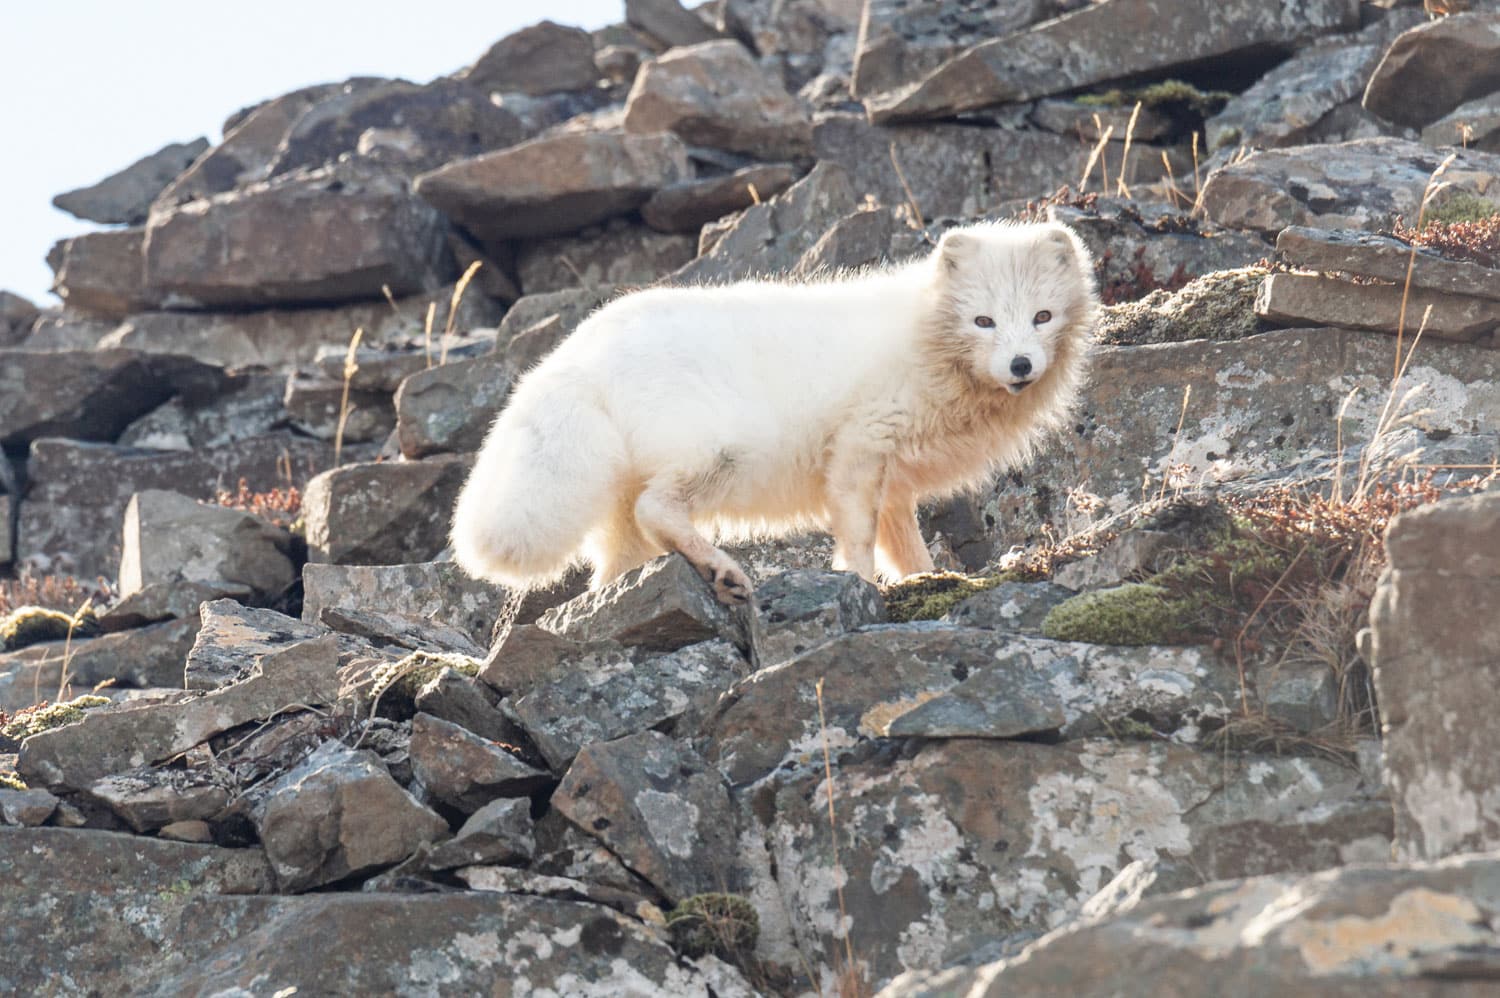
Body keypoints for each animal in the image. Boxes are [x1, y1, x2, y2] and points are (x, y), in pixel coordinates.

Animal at [450, 220, 1098, 603]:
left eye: (1041, 316)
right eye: (983, 321)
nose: (1020, 364)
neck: (925, 339)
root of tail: (577, 351)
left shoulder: (891, 480)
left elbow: (904, 544)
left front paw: (931, 580)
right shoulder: (861, 447)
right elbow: (858, 537)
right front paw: (861, 585)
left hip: (623, 516)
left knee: (615, 564)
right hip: (722, 451)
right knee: (656, 509)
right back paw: (721, 570)